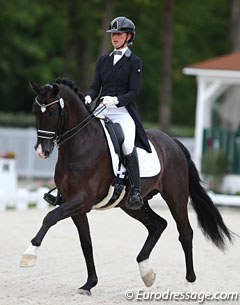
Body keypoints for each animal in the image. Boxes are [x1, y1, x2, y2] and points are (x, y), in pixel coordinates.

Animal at [19, 78, 233, 294]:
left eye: (53, 111)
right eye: (35, 110)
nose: (42, 152)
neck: (81, 144)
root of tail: (173, 142)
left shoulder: (82, 200)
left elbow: (50, 217)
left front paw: (29, 255)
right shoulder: (74, 204)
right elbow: (86, 242)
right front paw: (89, 283)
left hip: (176, 196)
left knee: (185, 233)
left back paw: (189, 282)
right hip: (133, 205)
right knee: (158, 225)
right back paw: (147, 272)